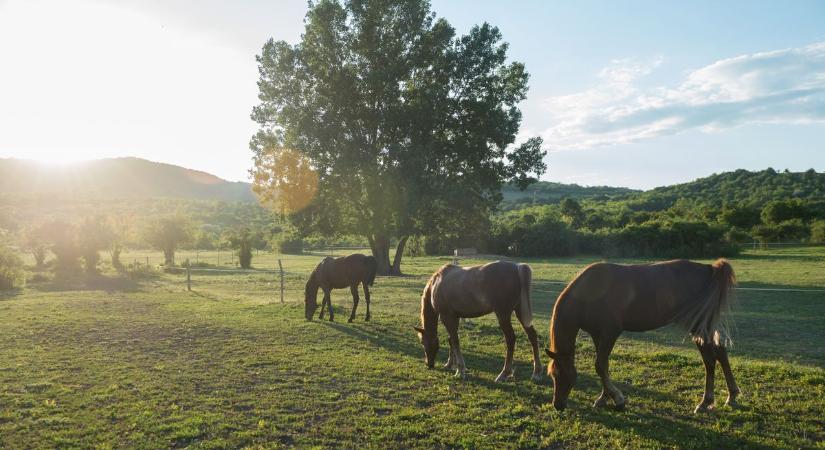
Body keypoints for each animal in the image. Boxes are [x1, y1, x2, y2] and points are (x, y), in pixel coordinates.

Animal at [412, 260, 540, 384]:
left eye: (422, 342)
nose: (429, 364)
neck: (436, 283)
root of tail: (517, 267)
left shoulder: (446, 317)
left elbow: (455, 341)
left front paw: (460, 370)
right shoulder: (454, 317)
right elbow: (451, 340)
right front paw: (449, 364)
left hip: (503, 315)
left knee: (511, 339)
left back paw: (504, 374)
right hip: (520, 312)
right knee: (532, 336)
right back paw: (536, 373)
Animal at [544, 258, 736, 414]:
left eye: (560, 375)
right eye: (552, 375)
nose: (557, 405)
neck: (589, 292)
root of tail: (709, 269)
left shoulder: (610, 332)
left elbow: (600, 365)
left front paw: (618, 400)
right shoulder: (598, 335)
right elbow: (603, 365)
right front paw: (604, 398)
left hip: (698, 326)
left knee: (709, 359)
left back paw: (705, 402)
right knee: (720, 353)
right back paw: (731, 396)